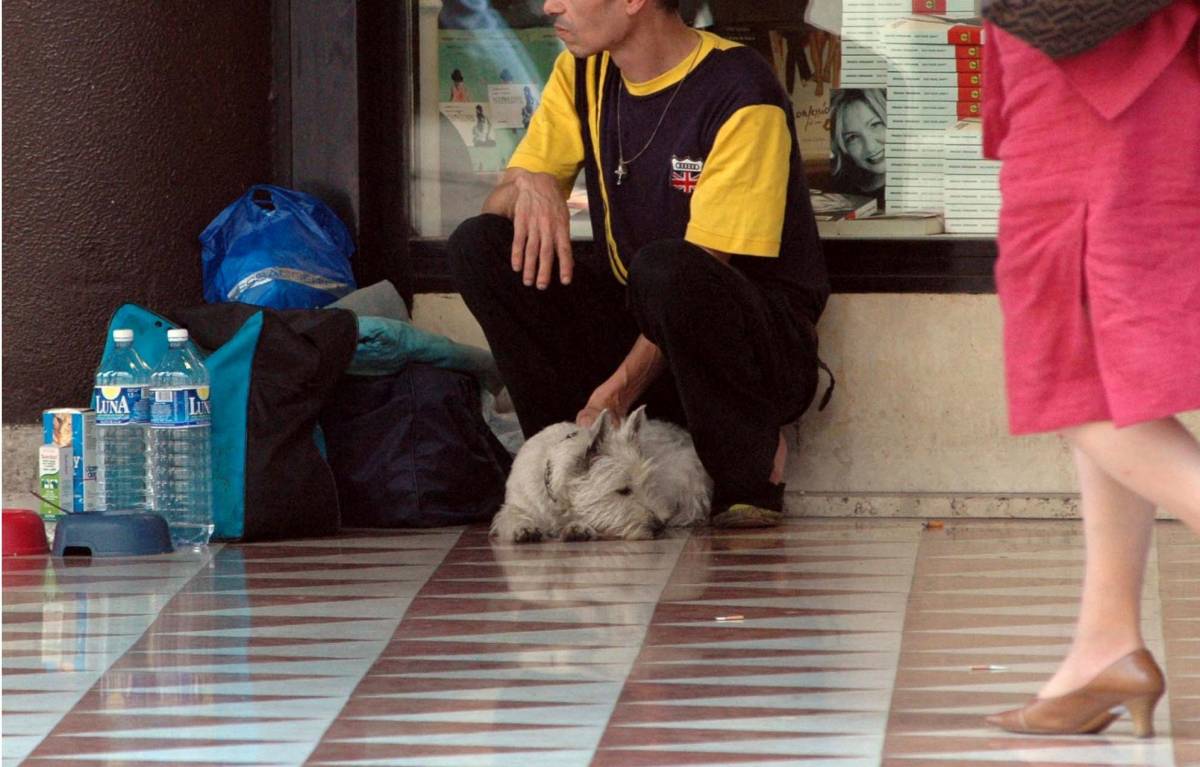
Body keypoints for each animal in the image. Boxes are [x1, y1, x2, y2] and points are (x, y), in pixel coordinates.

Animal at [489, 405, 710, 542]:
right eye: (623, 490)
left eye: (648, 485)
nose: (659, 526)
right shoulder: (517, 503)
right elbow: (510, 515)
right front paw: (523, 529)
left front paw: (577, 528)